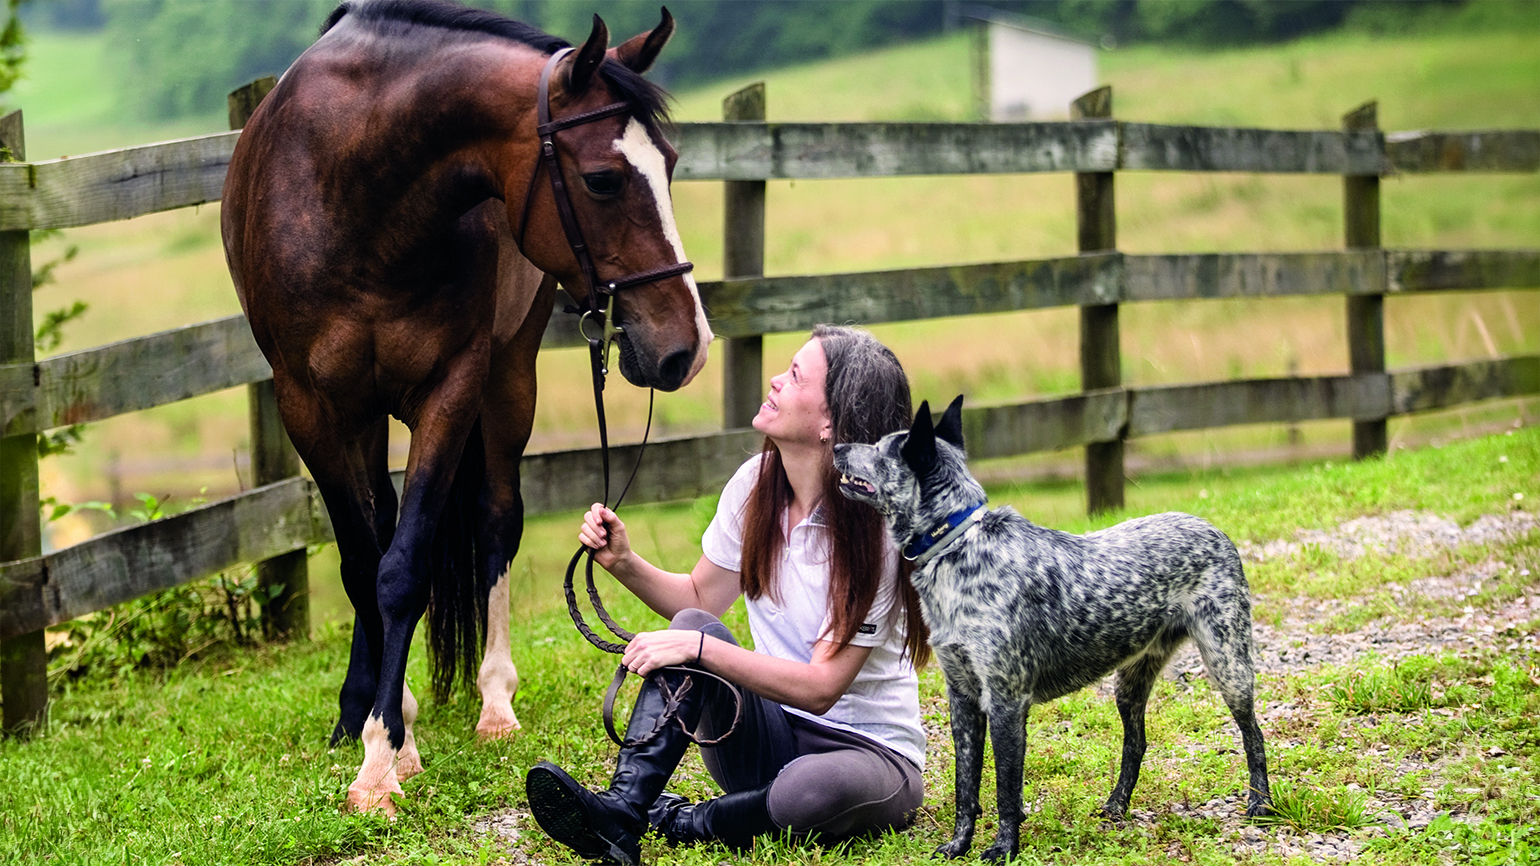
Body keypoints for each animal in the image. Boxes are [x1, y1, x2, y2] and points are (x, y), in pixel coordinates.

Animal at [221, 0, 711, 814]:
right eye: (604, 180)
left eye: (669, 165)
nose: (687, 348)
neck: (354, 195)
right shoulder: (310, 408)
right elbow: (365, 565)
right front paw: (382, 731)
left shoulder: (452, 386)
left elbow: (403, 568)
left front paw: (383, 759)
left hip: (509, 376)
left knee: (494, 520)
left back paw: (493, 701)